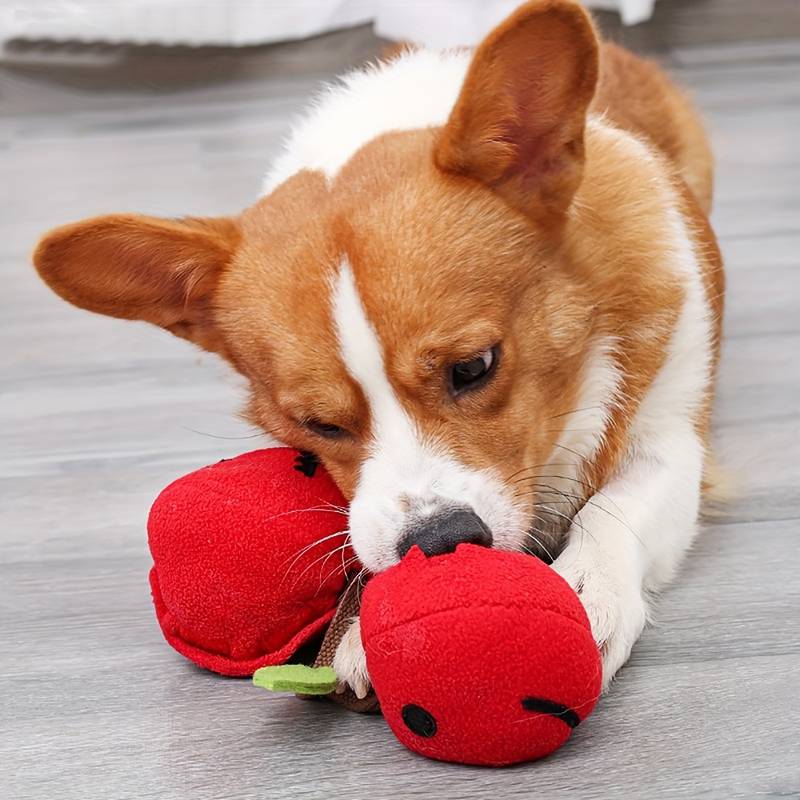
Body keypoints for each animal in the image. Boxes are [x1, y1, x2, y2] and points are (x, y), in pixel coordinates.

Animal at [32, 0, 724, 696]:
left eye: (474, 368)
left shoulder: (670, 434)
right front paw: (361, 618)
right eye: (318, 424)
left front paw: (589, 591)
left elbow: (615, 508)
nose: (442, 541)